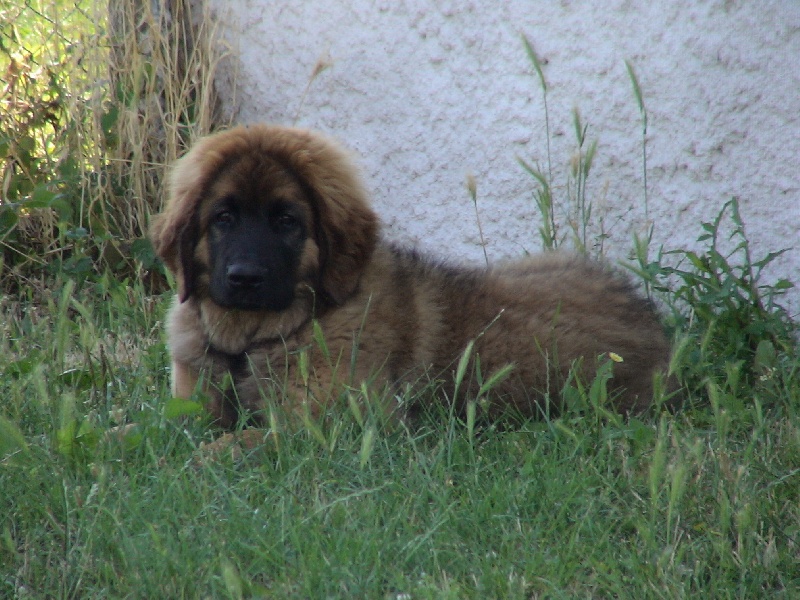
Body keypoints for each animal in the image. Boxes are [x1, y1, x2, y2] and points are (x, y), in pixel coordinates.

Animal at [148, 124, 668, 428]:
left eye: (286, 221)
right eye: (223, 218)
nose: (244, 277)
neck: (253, 339)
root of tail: (654, 325)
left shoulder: (314, 428)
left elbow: (222, 450)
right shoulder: (189, 403)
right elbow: (155, 430)